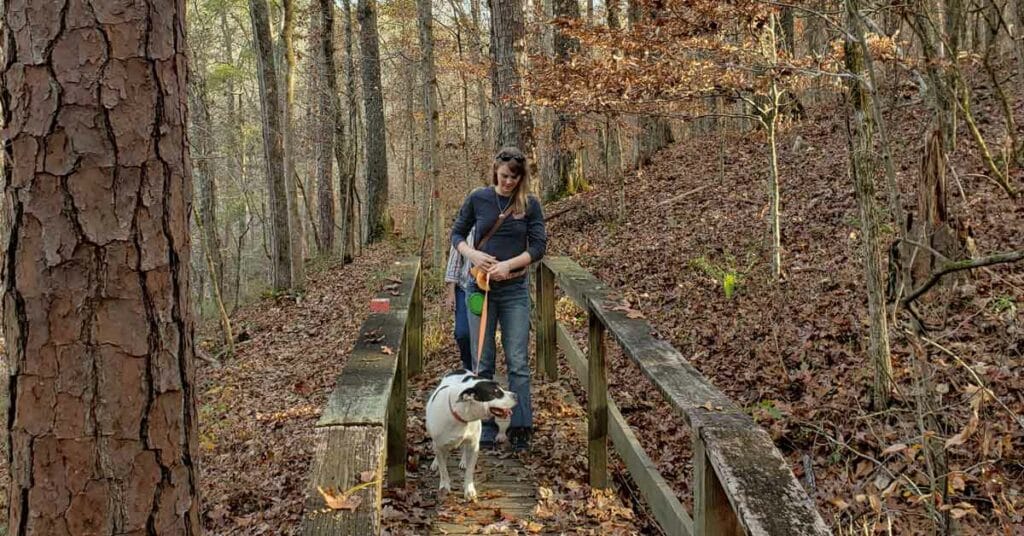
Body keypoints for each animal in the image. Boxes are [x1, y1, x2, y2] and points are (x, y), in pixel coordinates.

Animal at [425, 370, 516, 502]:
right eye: (496, 393)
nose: (516, 395)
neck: (460, 413)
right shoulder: (439, 445)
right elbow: (443, 469)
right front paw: (445, 487)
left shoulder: (474, 446)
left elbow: (469, 470)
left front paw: (469, 490)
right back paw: (435, 462)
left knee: (464, 448)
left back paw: (463, 461)